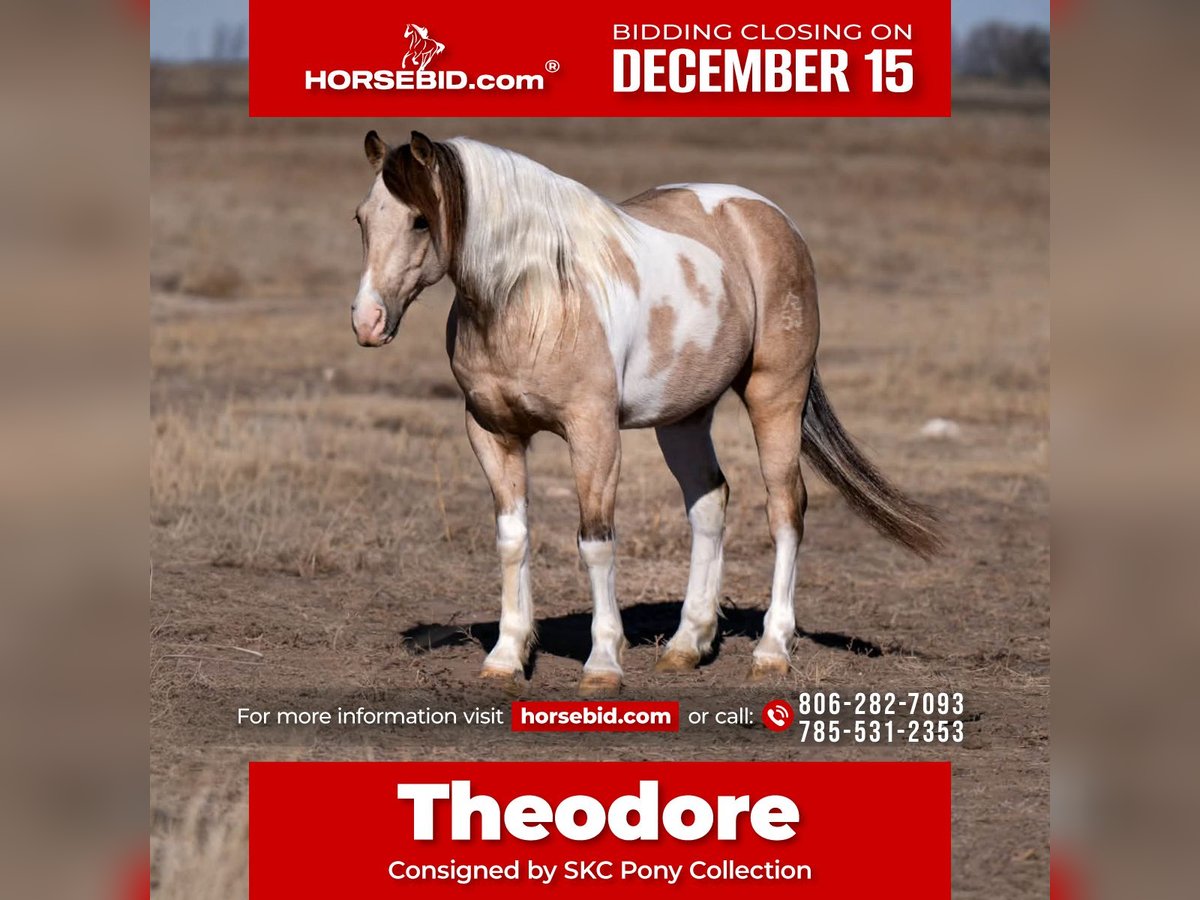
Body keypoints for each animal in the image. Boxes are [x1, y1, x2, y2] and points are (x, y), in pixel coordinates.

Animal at [349, 130, 942, 693]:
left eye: (420, 220)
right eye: (361, 218)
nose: (367, 321)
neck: (535, 299)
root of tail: (772, 219)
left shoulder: (593, 433)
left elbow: (595, 543)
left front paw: (602, 664)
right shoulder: (493, 432)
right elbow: (513, 539)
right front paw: (505, 657)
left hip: (776, 396)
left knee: (785, 510)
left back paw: (772, 651)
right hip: (684, 417)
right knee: (709, 502)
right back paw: (687, 644)